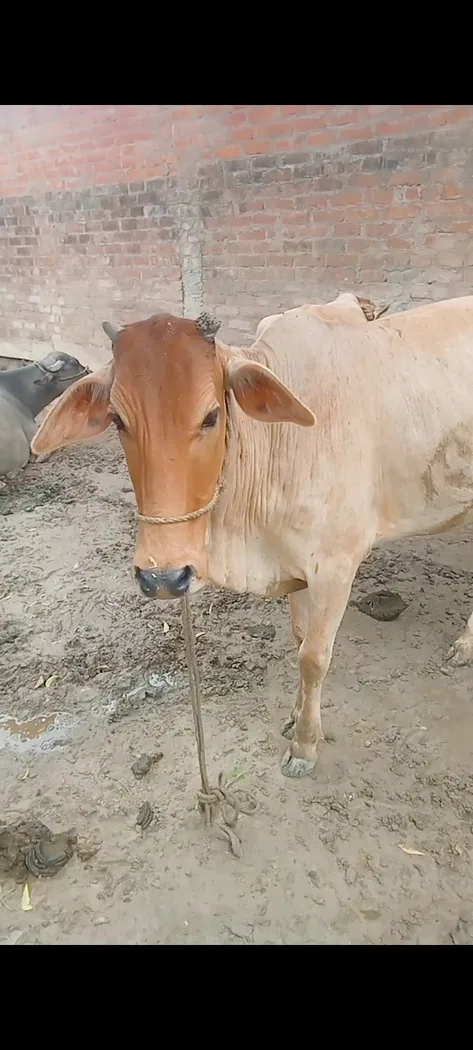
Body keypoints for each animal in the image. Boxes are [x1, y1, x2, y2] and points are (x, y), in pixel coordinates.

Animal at [31, 298, 473, 778]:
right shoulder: (296, 567)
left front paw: (304, 746)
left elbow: (313, 658)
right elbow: (299, 641)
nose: (163, 577)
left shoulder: (338, 567)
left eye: (211, 416)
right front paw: (296, 718)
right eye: (116, 419)